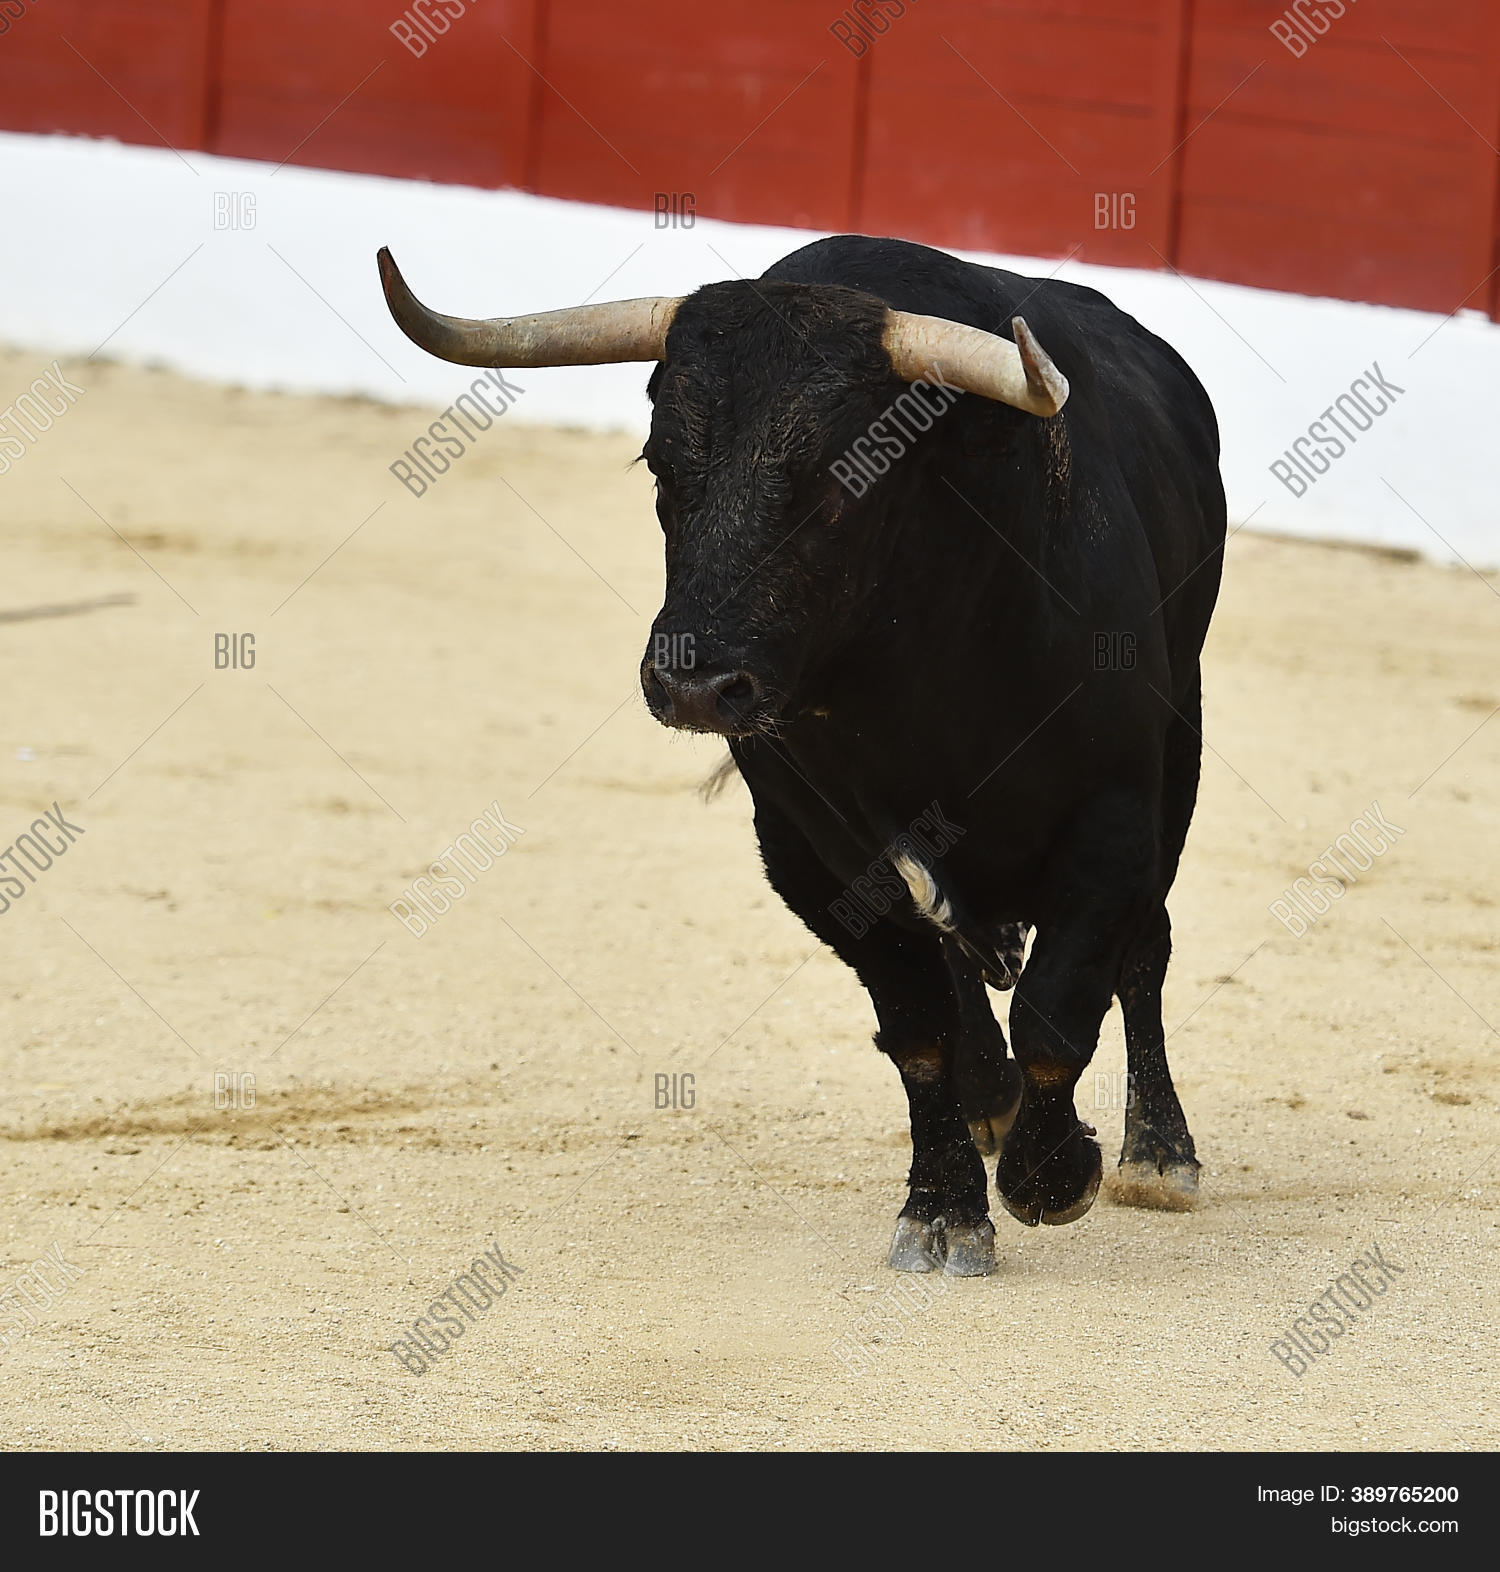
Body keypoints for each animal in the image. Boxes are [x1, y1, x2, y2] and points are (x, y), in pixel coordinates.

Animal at [377, 233, 1225, 1277]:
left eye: (849, 475)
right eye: (660, 464)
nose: (694, 683)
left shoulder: (1115, 816)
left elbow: (1059, 1007)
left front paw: (1054, 1177)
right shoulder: (812, 854)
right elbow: (919, 1029)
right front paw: (944, 1208)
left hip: (1180, 752)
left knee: (1143, 948)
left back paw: (1161, 1154)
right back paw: (994, 1105)